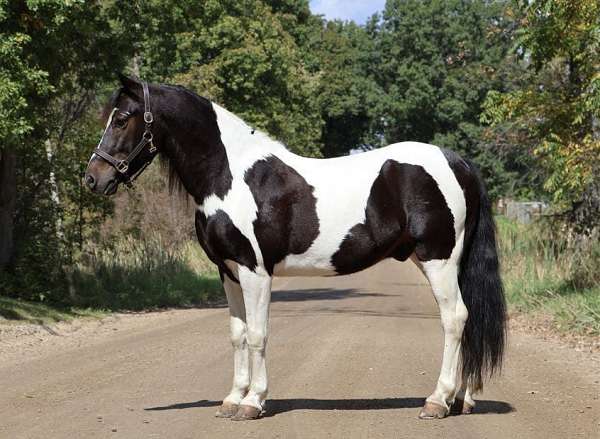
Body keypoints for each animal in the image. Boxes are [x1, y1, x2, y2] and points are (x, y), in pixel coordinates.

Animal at [84, 75, 506, 422]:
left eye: (122, 119)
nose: (92, 178)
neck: (229, 176)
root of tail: (458, 163)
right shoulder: (228, 271)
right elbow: (237, 334)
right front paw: (232, 399)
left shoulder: (254, 270)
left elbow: (258, 334)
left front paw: (253, 403)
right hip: (444, 262)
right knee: (466, 320)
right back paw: (462, 400)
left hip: (439, 259)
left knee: (455, 318)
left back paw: (437, 401)